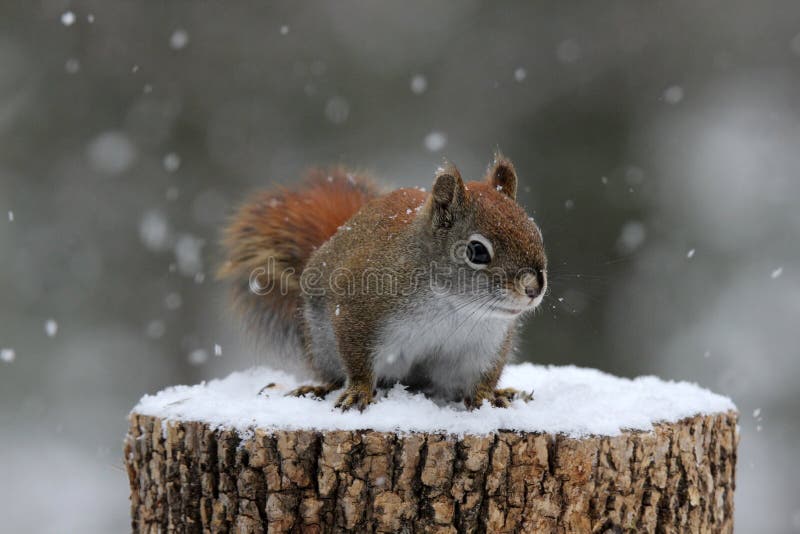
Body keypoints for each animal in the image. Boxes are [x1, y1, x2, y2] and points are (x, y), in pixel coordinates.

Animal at [219, 153, 548, 412]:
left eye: (536, 234)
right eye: (477, 251)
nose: (534, 289)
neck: (452, 305)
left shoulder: (486, 343)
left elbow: (482, 375)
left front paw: (487, 396)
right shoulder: (358, 310)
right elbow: (358, 362)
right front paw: (358, 392)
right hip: (322, 343)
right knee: (332, 374)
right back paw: (319, 388)